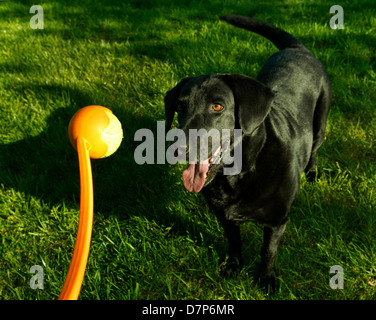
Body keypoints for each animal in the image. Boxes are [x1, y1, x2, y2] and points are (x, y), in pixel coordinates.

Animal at [163, 15, 330, 296]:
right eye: (179, 106)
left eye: (217, 106)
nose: (177, 150)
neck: (240, 173)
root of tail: (297, 49)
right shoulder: (224, 216)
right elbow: (235, 241)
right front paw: (233, 266)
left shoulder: (277, 220)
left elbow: (268, 251)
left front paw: (267, 278)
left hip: (321, 118)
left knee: (316, 147)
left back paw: (313, 172)